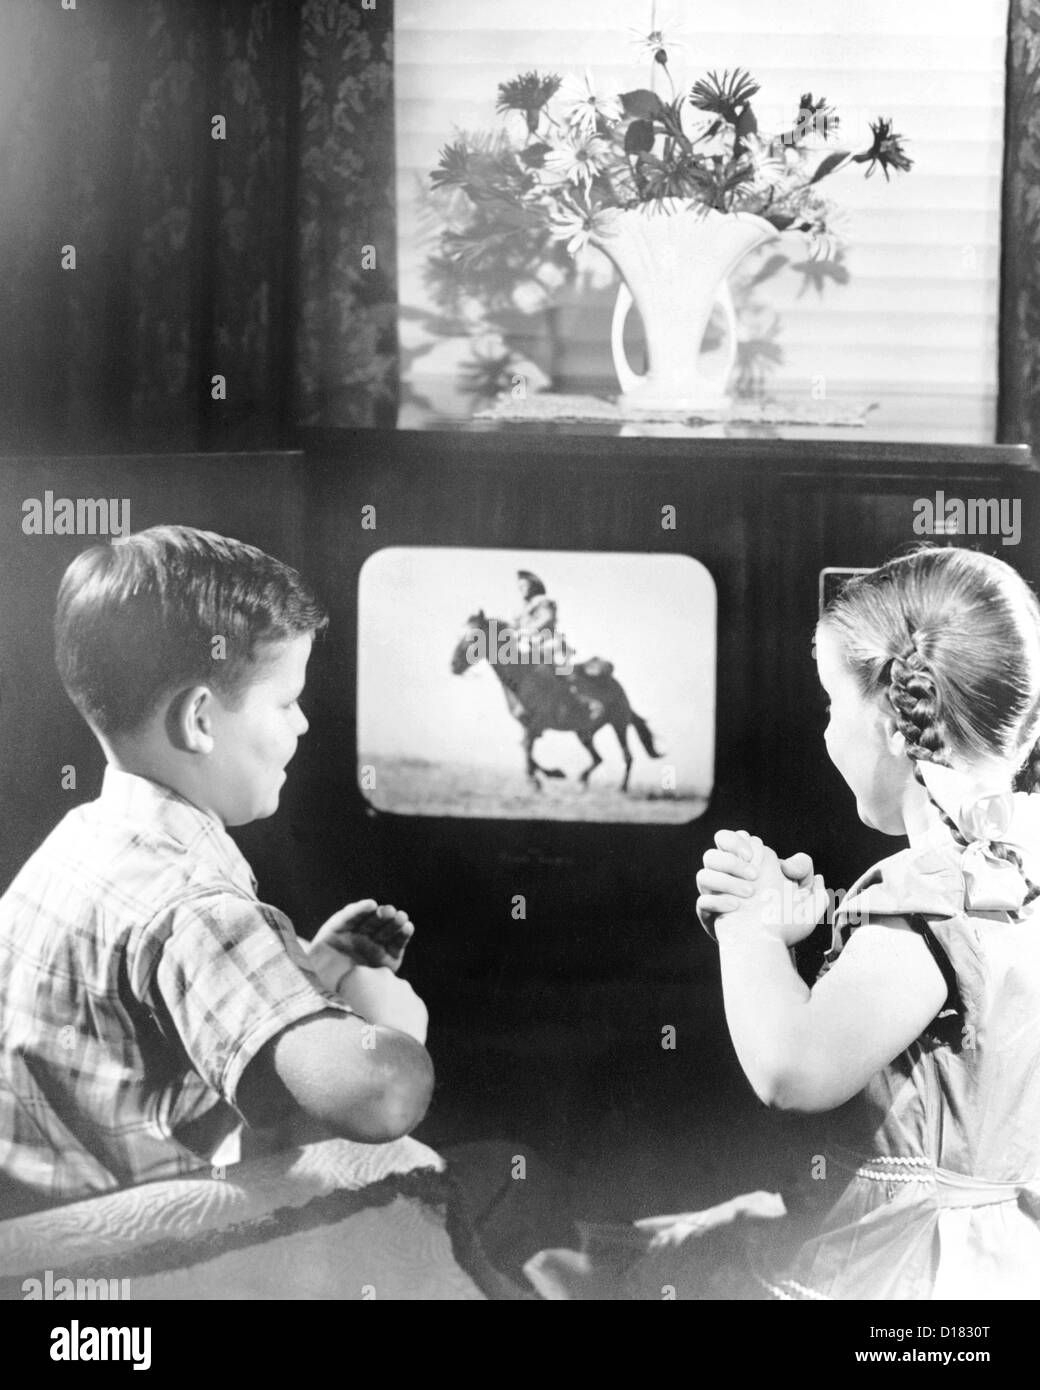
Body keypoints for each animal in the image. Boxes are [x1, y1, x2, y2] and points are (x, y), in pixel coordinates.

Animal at [444, 611, 659, 795]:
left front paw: (541, 779)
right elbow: (526, 750)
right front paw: (548, 776)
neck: (522, 678)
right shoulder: (528, 726)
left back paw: (621, 788)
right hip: (584, 733)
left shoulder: (536, 725)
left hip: (619, 725)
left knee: (627, 756)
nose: (454, 665)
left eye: (473, 637)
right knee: (598, 758)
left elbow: (526, 749)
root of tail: (620, 689)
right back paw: (582, 781)